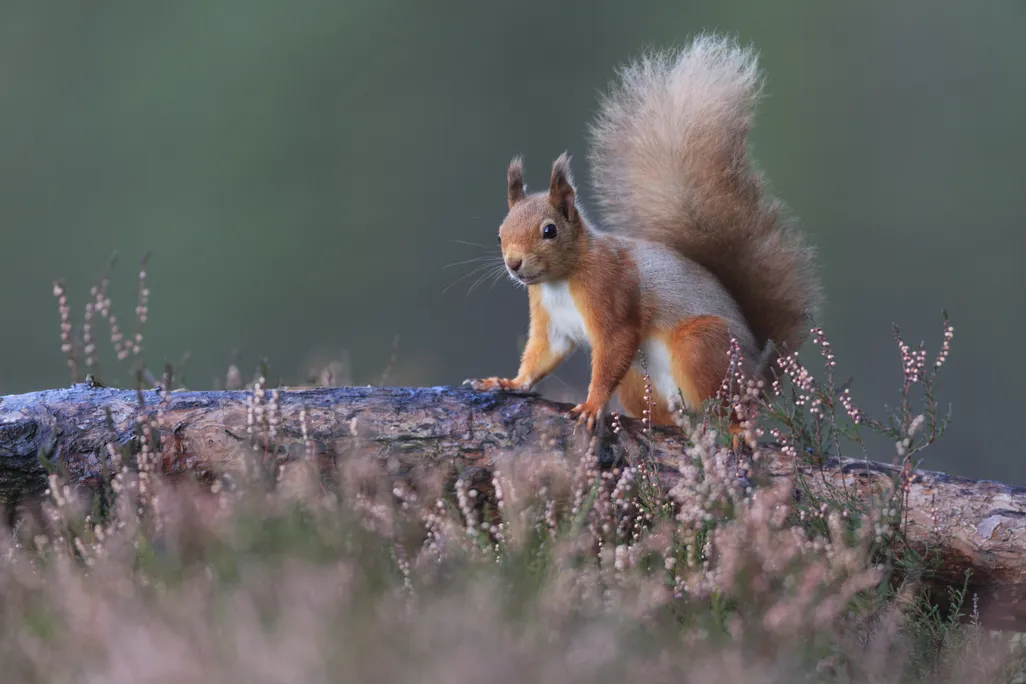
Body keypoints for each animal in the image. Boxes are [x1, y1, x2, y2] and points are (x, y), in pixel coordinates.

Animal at [464, 34, 822, 431]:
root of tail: (758, 379)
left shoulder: (611, 292)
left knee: (724, 407)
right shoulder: (550, 322)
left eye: (550, 230)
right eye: (499, 235)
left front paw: (592, 405)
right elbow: (542, 354)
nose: (513, 264)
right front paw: (507, 382)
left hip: (702, 346)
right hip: (640, 378)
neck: (561, 280)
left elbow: (615, 345)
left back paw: (733, 427)